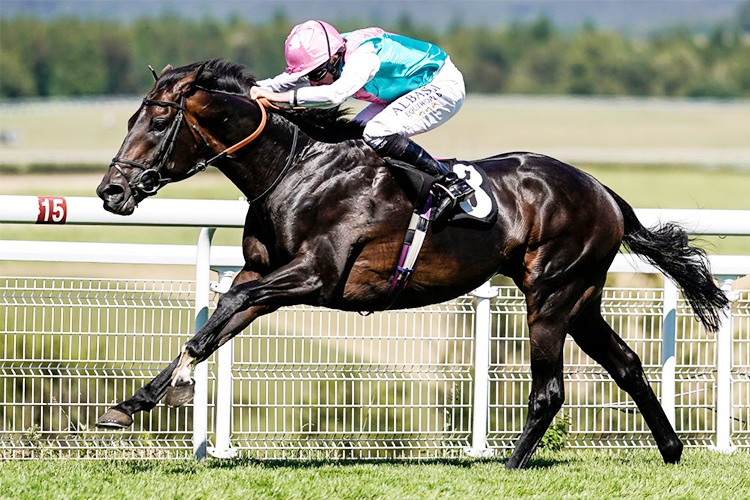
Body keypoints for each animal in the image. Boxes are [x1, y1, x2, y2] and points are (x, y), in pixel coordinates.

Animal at [95, 59, 728, 468]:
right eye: (129, 120)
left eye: (157, 122)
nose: (110, 191)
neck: (297, 168)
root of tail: (603, 192)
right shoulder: (264, 274)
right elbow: (215, 325)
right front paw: (132, 404)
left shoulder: (315, 277)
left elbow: (226, 304)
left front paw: (171, 388)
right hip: (580, 298)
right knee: (626, 363)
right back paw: (671, 450)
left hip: (550, 294)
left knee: (550, 389)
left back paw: (510, 465)